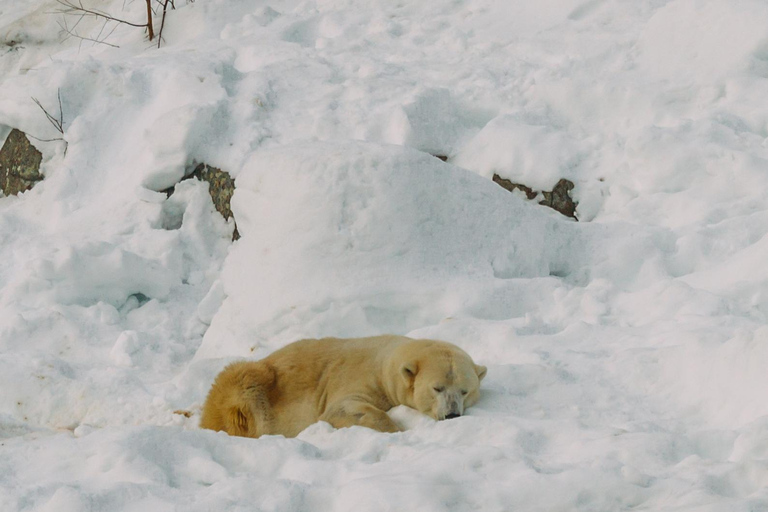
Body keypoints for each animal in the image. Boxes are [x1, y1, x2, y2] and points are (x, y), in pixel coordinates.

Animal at [198, 334, 486, 438]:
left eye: (465, 391)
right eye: (437, 388)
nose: (452, 414)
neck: (385, 361)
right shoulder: (359, 377)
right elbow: (343, 409)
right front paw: (397, 430)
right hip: (251, 383)